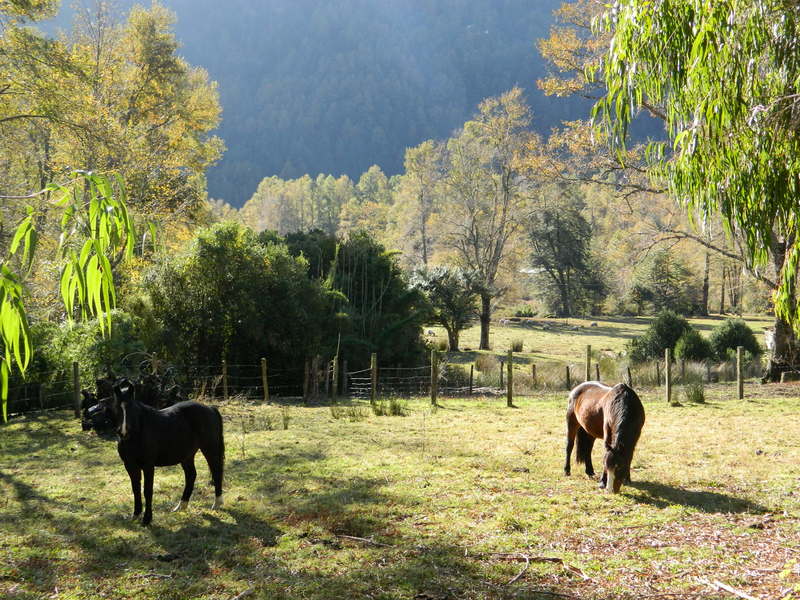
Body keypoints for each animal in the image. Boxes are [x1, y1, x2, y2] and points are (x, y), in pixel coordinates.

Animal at [85, 380, 225, 524]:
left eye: (132, 408)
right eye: (117, 408)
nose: (124, 432)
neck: (138, 433)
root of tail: (211, 409)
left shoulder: (148, 465)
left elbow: (147, 490)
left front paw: (147, 519)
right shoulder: (130, 465)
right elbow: (136, 489)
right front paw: (136, 515)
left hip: (210, 449)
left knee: (216, 472)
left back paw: (217, 504)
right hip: (187, 455)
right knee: (191, 475)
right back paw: (181, 506)